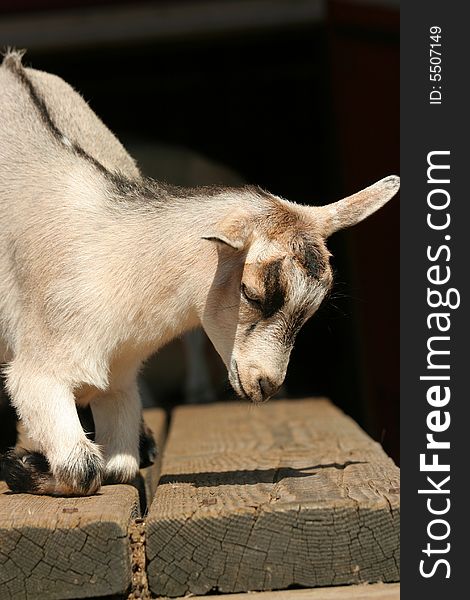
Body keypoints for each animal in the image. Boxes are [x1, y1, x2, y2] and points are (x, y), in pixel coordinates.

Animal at [0, 51, 400, 494]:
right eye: (251, 292)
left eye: (313, 308)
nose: (266, 385)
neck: (110, 255)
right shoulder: (39, 370)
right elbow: (82, 469)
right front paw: (18, 463)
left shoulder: (120, 379)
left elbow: (119, 468)